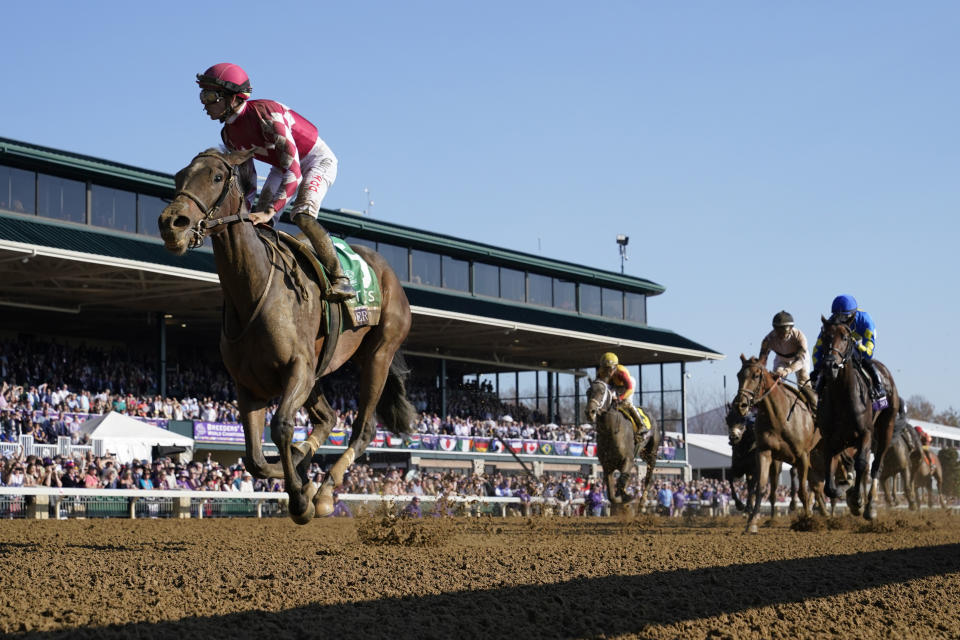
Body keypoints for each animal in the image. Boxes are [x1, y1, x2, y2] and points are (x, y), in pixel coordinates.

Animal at [158, 150, 412, 524]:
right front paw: (298, 474)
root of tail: (387, 271)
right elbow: (255, 459)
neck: (254, 290)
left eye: (216, 177)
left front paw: (300, 498)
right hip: (319, 370)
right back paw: (307, 468)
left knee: (362, 428)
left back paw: (324, 492)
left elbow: (280, 427)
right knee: (328, 419)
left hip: (378, 354)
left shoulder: (297, 369)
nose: (172, 223)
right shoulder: (249, 384)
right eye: (179, 176)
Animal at [584, 378, 660, 512]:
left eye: (602, 392)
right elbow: (612, 494)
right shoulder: (607, 465)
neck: (611, 431)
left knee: (648, 477)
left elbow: (621, 483)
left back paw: (642, 503)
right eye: (588, 392)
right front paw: (621, 500)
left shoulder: (628, 460)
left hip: (652, 454)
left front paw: (628, 497)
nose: (590, 412)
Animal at [736, 358, 816, 532]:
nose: (741, 405)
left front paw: (807, 520)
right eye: (739, 375)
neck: (780, 417)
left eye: (756, 375)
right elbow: (761, 487)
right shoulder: (765, 452)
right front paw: (752, 522)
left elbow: (802, 491)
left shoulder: (803, 455)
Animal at [812, 316, 896, 520]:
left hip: (886, 429)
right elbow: (829, 484)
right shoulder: (830, 439)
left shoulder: (866, 433)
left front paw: (858, 500)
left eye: (845, 337)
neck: (843, 395)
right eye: (825, 337)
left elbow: (862, 463)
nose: (830, 365)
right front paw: (846, 492)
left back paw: (870, 506)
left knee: (875, 466)